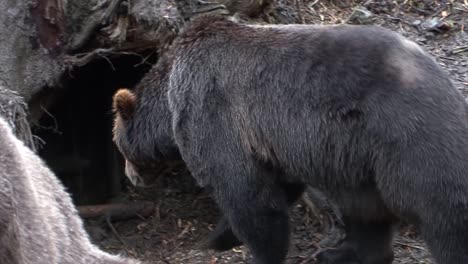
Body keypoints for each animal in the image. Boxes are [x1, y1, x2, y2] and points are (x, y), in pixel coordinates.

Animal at [112, 15, 468, 264]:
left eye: (118, 146)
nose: (130, 179)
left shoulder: (212, 110)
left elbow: (245, 192)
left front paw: (244, 248)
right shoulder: (275, 142)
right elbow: (278, 186)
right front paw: (220, 238)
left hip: (409, 142)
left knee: (442, 214)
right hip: (361, 162)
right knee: (365, 212)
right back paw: (340, 253)